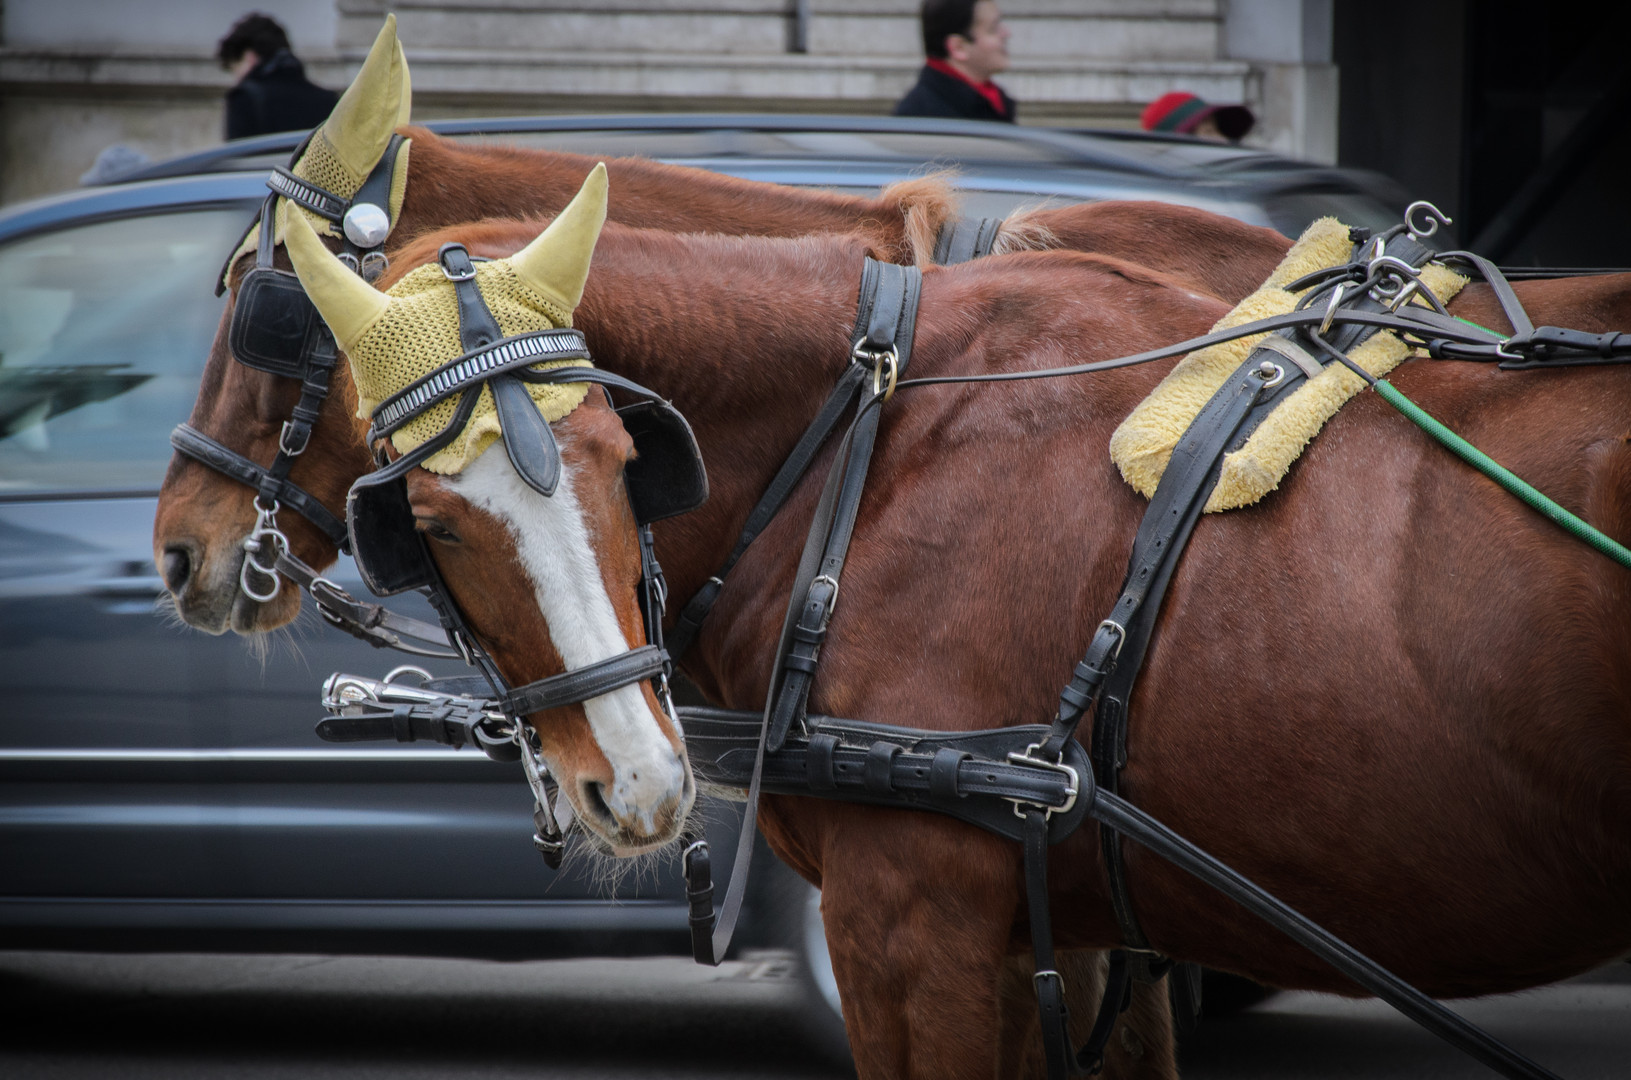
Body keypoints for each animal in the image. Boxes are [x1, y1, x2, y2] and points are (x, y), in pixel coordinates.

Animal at [277, 167, 1631, 1076]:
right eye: (435, 521)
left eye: (623, 462)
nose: (640, 784)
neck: (874, 437)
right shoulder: (1075, 928)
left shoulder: (908, 927)